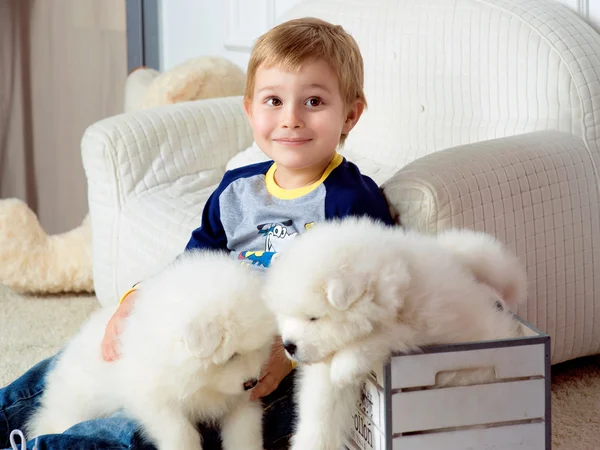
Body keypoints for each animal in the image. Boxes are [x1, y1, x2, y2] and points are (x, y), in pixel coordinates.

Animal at [25, 251, 274, 450]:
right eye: (232, 355)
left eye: (259, 348)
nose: (252, 382)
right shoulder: (154, 401)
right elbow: (181, 432)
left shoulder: (241, 401)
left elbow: (245, 432)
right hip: (78, 405)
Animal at [264, 216, 528, 448]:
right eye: (285, 316)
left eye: (313, 318)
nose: (289, 346)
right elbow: (320, 414)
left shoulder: (419, 327)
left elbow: (380, 337)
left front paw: (345, 366)